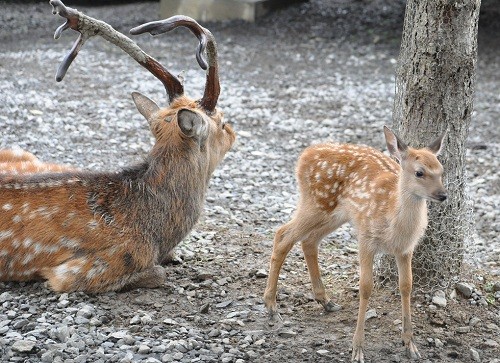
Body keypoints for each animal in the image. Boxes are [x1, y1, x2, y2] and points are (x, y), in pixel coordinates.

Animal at [264, 126, 448, 362]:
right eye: (419, 172)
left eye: (441, 170)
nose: (442, 195)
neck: (394, 222)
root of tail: (305, 155)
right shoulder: (366, 238)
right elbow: (366, 287)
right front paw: (357, 349)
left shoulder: (405, 249)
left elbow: (406, 286)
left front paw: (410, 345)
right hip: (316, 203)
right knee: (283, 235)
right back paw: (271, 306)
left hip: (335, 213)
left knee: (309, 240)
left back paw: (326, 301)